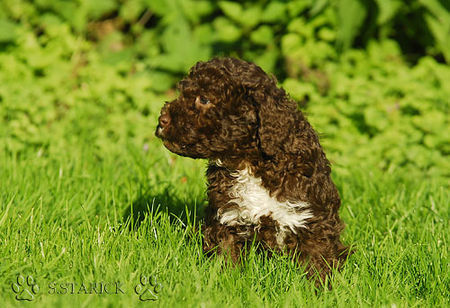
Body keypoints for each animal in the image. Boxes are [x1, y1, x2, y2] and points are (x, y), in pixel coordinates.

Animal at [156, 57, 352, 284]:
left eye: (204, 99)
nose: (161, 120)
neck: (250, 163)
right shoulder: (227, 216)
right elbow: (226, 256)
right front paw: (225, 282)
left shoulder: (311, 218)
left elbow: (317, 259)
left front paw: (318, 288)